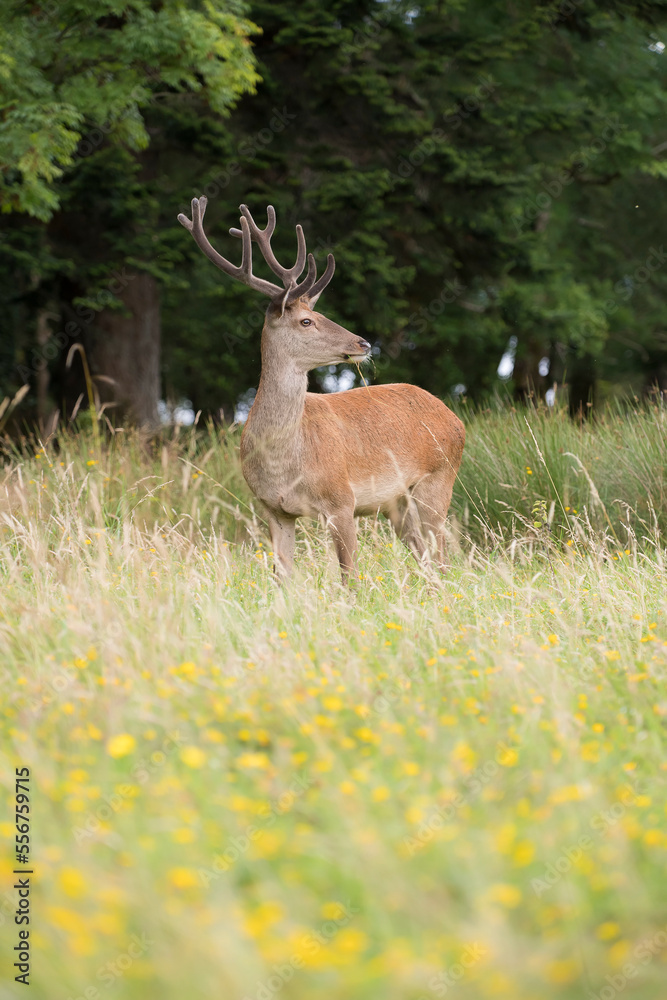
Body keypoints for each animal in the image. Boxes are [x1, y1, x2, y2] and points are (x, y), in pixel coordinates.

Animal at [177, 196, 465, 583]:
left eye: (319, 314)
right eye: (306, 320)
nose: (363, 342)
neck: (286, 462)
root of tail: (454, 417)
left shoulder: (341, 500)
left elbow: (349, 579)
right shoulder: (274, 510)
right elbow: (281, 578)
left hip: (439, 478)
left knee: (441, 557)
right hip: (398, 503)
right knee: (427, 559)